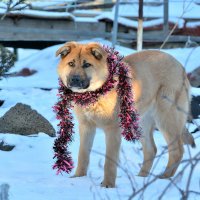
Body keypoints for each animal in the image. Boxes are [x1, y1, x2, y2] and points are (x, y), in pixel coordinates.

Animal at [55, 41, 195, 187]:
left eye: (87, 64)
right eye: (71, 63)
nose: (75, 80)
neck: (95, 92)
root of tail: (179, 65)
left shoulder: (112, 129)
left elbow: (109, 162)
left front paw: (108, 185)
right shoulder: (86, 126)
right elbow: (83, 155)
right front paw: (78, 178)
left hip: (166, 117)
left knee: (177, 150)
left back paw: (164, 178)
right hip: (141, 121)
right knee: (151, 149)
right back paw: (142, 178)